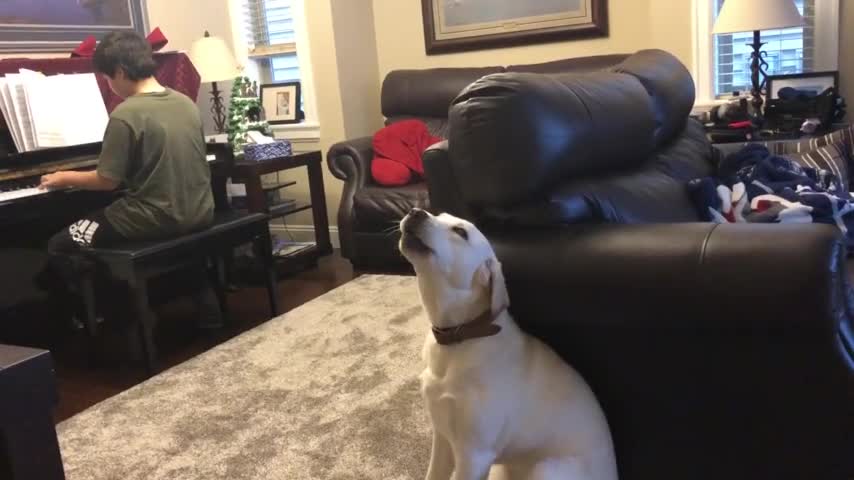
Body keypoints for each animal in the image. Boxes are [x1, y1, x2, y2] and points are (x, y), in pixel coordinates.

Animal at [398, 209, 620, 480]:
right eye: (439, 214)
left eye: (460, 232)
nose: (415, 211)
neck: (460, 337)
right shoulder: (442, 437)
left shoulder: (474, 455)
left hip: (545, 469)